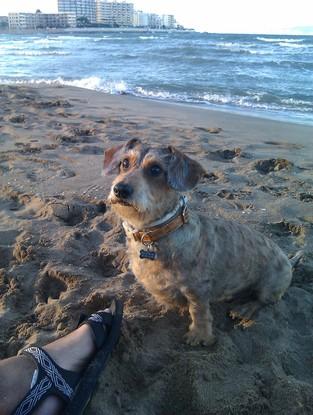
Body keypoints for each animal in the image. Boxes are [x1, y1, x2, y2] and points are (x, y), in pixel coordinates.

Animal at [103, 140, 294, 348]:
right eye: (124, 163)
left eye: (155, 169)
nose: (120, 189)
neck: (155, 234)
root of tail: (288, 259)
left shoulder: (197, 288)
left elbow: (199, 311)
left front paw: (199, 335)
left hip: (270, 284)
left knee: (263, 301)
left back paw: (245, 308)